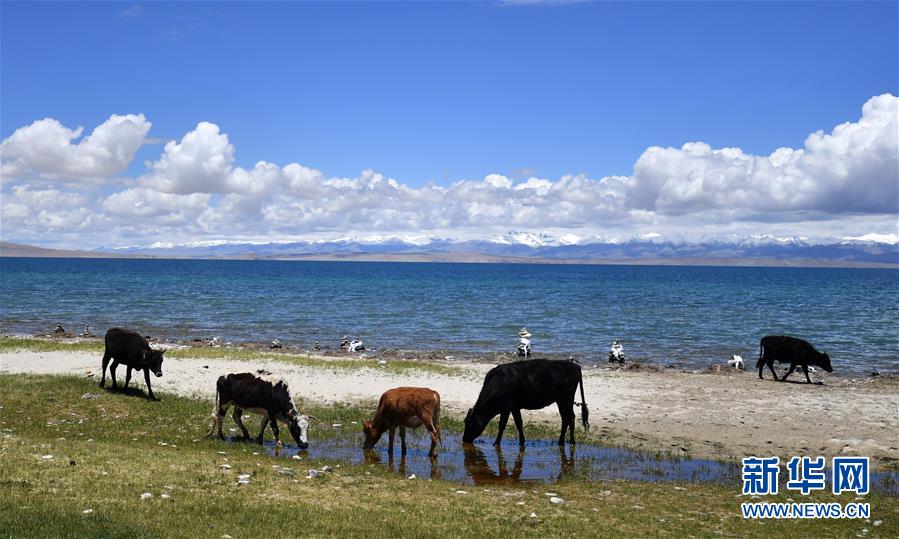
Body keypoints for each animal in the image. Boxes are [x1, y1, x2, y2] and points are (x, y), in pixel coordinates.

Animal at [464, 360, 592, 450]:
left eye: (469, 422)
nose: (464, 440)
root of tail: (574, 365)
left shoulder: (512, 406)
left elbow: (515, 423)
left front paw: (501, 442)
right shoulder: (507, 408)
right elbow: (505, 425)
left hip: (566, 399)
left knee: (570, 417)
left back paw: (572, 442)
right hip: (561, 400)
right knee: (565, 418)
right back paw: (561, 441)